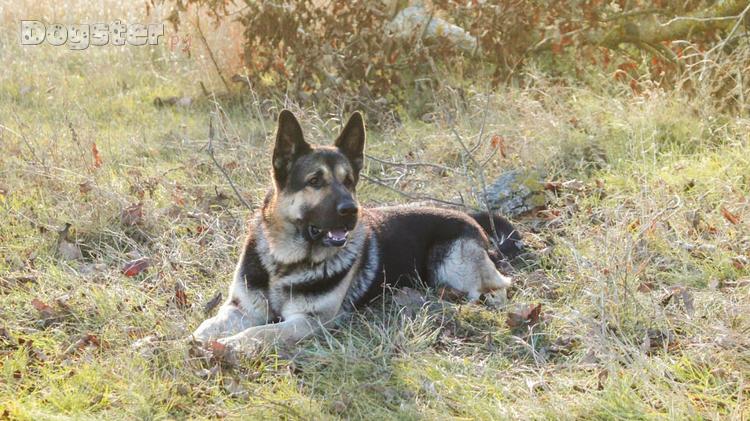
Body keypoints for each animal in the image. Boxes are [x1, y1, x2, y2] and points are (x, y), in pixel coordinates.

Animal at [192, 110, 522, 351]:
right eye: (315, 181)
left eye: (348, 181)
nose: (351, 210)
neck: (283, 263)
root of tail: (469, 218)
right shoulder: (241, 309)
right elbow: (208, 325)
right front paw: (196, 341)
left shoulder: (307, 321)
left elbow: (261, 333)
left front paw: (230, 345)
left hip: (453, 267)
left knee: (499, 286)